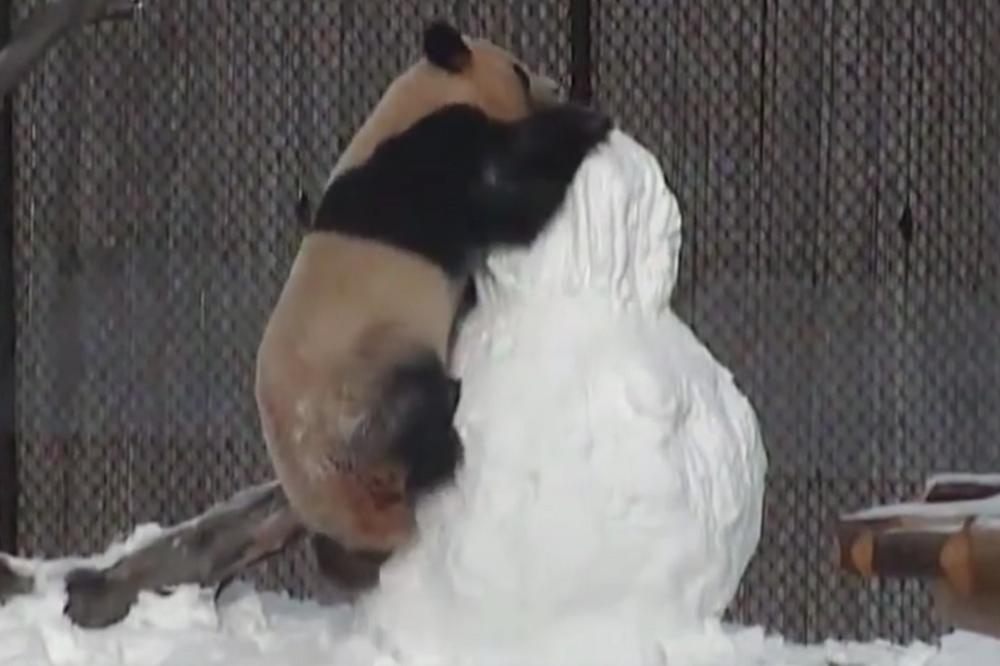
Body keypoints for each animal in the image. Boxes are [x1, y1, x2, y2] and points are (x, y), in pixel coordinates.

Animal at [255, 21, 611, 590]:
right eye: (519, 69)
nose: (555, 85)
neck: (424, 96)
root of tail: (337, 502)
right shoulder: (432, 160)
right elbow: (507, 202)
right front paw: (583, 124)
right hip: (364, 381)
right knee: (416, 412)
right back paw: (444, 434)